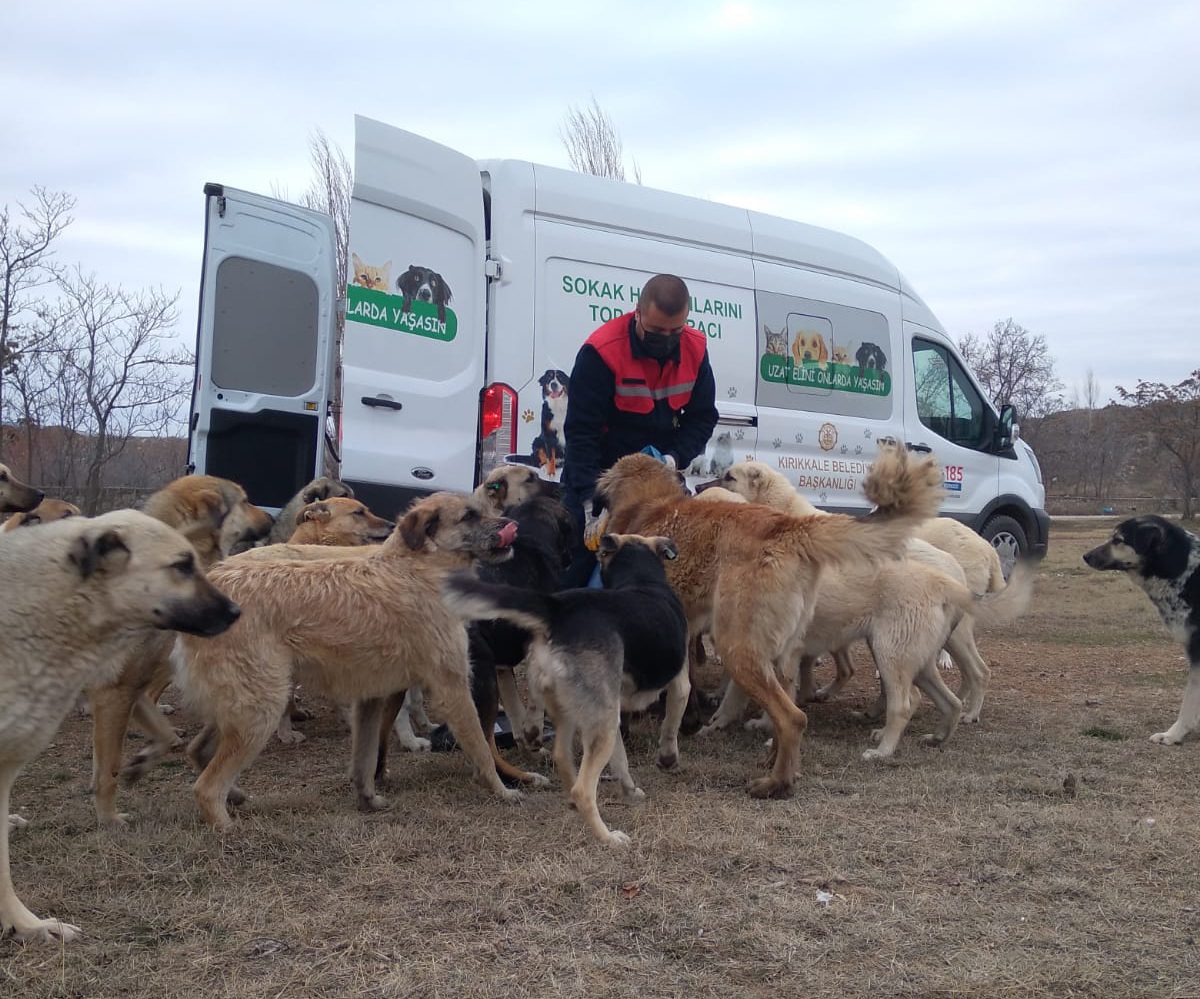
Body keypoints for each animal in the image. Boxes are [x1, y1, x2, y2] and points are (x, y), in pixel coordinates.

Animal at [87, 475, 272, 826]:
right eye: (244, 501)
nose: (272, 518)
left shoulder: (135, 688)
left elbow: (164, 734)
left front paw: (142, 761)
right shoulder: (115, 691)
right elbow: (109, 769)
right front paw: (108, 818)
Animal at [178, 489, 530, 826]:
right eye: (469, 516)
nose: (513, 526)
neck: (418, 568)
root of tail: (217, 586)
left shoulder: (373, 697)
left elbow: (365, 758)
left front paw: (367, 799)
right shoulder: (452, 685)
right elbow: (481, 748)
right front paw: (502, 790)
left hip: (243, 703)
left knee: (199, 751)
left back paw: (236, 795)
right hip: (261, 707)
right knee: (206, 787)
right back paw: (227, 827)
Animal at [595, 441, 940, 802]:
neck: (651, 504)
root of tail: (789, 528)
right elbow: (681, 692)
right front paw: (669, 750)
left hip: (740, 650)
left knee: (794, 718)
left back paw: (776, 783)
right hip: (779, 655)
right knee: (788, 708)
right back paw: (778, 762)